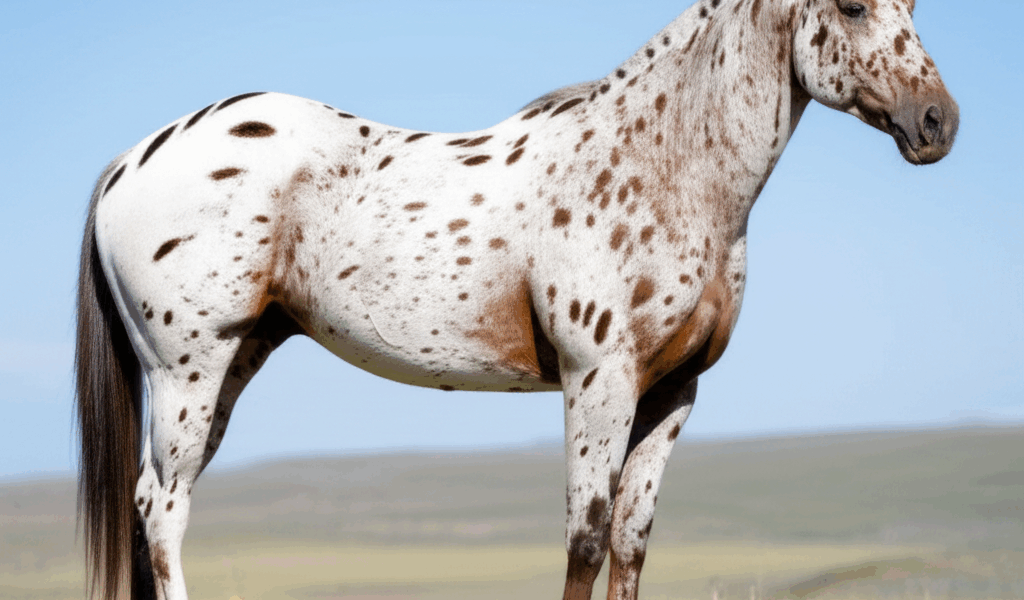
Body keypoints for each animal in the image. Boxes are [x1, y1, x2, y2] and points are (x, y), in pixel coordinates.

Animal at [75, 0, 958, 598]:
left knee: (156, 504)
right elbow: (586, 541)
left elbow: (631, 543)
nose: (937, 123)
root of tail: (130, 160)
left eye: (914, 7)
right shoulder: (598, 379)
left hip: (233, 362)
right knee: (163, 507)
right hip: (187, 371)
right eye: (850, 5)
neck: (661, 165)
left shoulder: (674, 391)